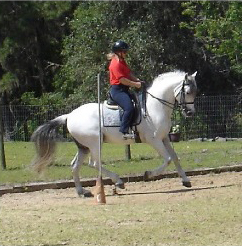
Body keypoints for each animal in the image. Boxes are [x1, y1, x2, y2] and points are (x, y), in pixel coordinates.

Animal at [31, 70, 197, 197]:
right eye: (188, 92)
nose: (190, 113)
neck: (155, 106)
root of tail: (69, 116)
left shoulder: (164, 138)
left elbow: (175, 157)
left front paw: (186, 180)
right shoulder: (154, 140)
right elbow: (168, 159)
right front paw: (148, 174)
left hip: (84, 147)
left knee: (75, 165)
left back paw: (82, 192)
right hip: (95, 143)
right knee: (94, 163)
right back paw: (118, 181)